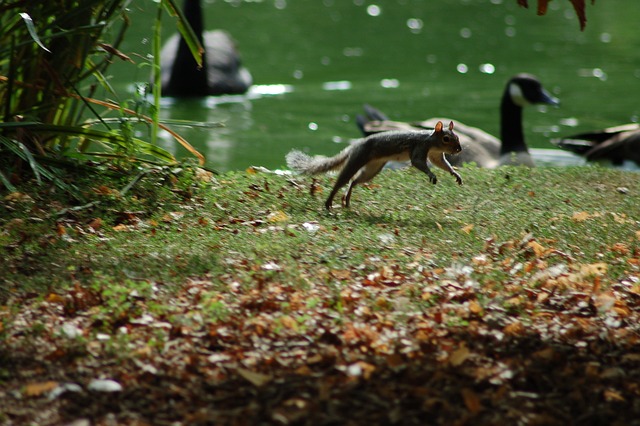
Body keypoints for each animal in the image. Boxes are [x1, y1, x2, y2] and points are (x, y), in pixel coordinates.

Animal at [288, 120, 462, 210]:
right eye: (446, 138)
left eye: (457, 137)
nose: (459, 149)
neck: (431, 141)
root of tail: (354, 146)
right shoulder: (419, 148)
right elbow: (418, 162)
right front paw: (432, 174)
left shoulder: (435, 154)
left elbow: (442, 163)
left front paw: (455, 174)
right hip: (357, 160)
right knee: (342, 181)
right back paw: (329, 203)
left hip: (373, 168)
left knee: (354, 181)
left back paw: (347, 201)